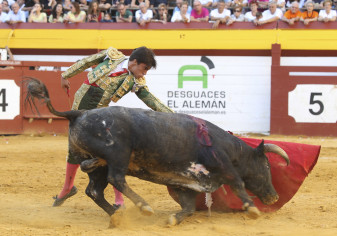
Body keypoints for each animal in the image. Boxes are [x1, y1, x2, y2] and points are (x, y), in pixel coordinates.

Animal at [25, 79, 288, 227]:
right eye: (266, 165)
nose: (274, 196)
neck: (231, 149)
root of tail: (78, 113)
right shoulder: (224, 167)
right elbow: (238, 183)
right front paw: (252, 209)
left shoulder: (185, 183)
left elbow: (188, 208)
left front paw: (172, 219)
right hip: (118, 154)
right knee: (116, 178)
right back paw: (143, 207)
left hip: (98, 163)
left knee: (94, 189)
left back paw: (117, 216)